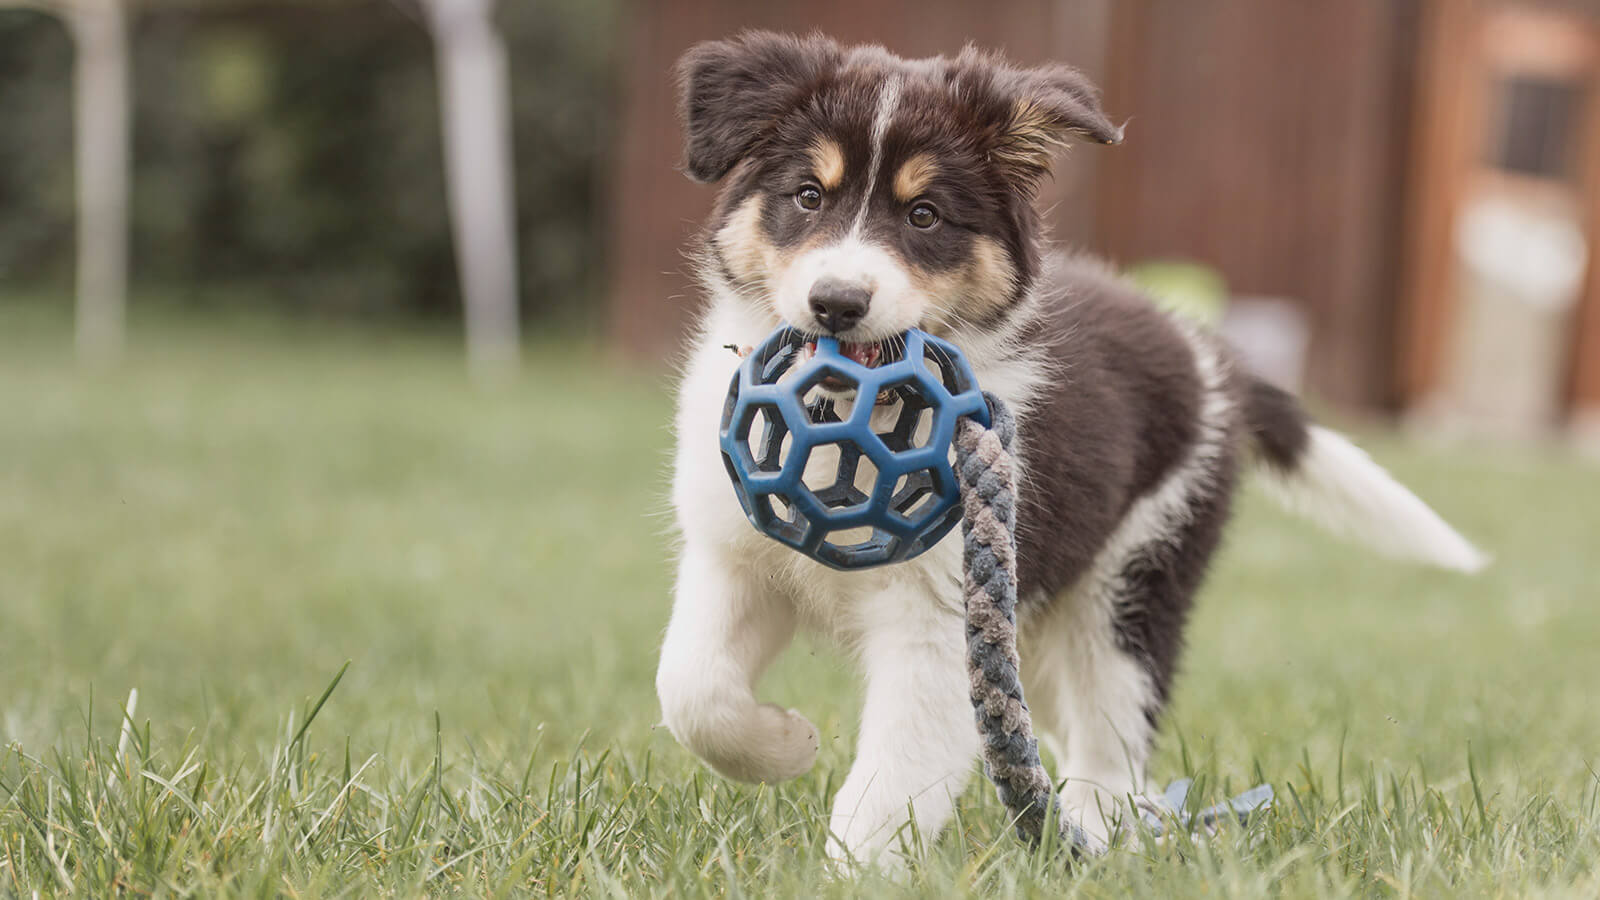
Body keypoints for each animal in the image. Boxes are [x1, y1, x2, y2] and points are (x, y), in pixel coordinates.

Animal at [652, 31, 1484, 864]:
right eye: (807, 197)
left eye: (924, 215)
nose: (837, 303)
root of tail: (1210, 358)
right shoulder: (733, 556)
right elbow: (691, 688)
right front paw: (787, 746)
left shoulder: (936, 619)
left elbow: (890, 781)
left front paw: (852, 865)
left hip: (1132, 581)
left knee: (1111, 741)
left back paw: (1095, 836)